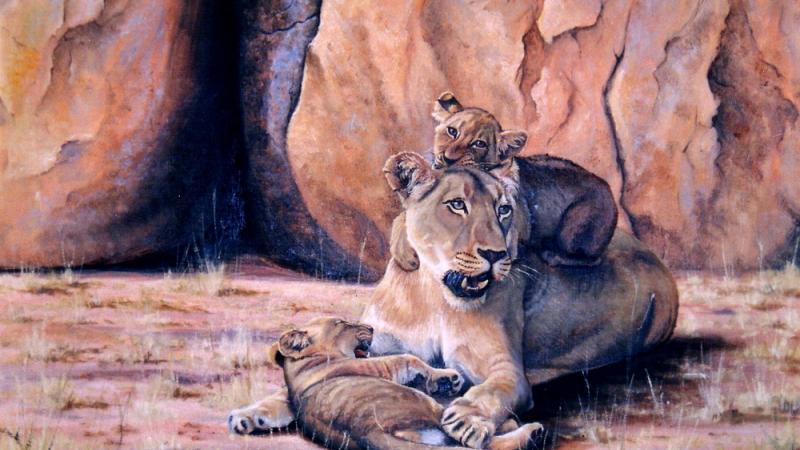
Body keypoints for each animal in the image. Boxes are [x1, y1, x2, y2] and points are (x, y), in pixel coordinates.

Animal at [267, 316, 541, 450]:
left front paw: (443, 380)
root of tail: (366, 434)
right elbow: (407, 358)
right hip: (427, 406)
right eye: (342, 323)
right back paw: (528, 431)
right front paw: (448, 377)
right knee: (481, 443)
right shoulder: (377, 366)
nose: (371, 327)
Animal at [391, 91, 618, 271]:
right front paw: (404, 251)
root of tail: (608, 189)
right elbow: (405, 216)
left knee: (593, 259)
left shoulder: (517, 225)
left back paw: (551, 255)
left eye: (479, 144)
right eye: (452, 131)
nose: (447, 158)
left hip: (574, 229)